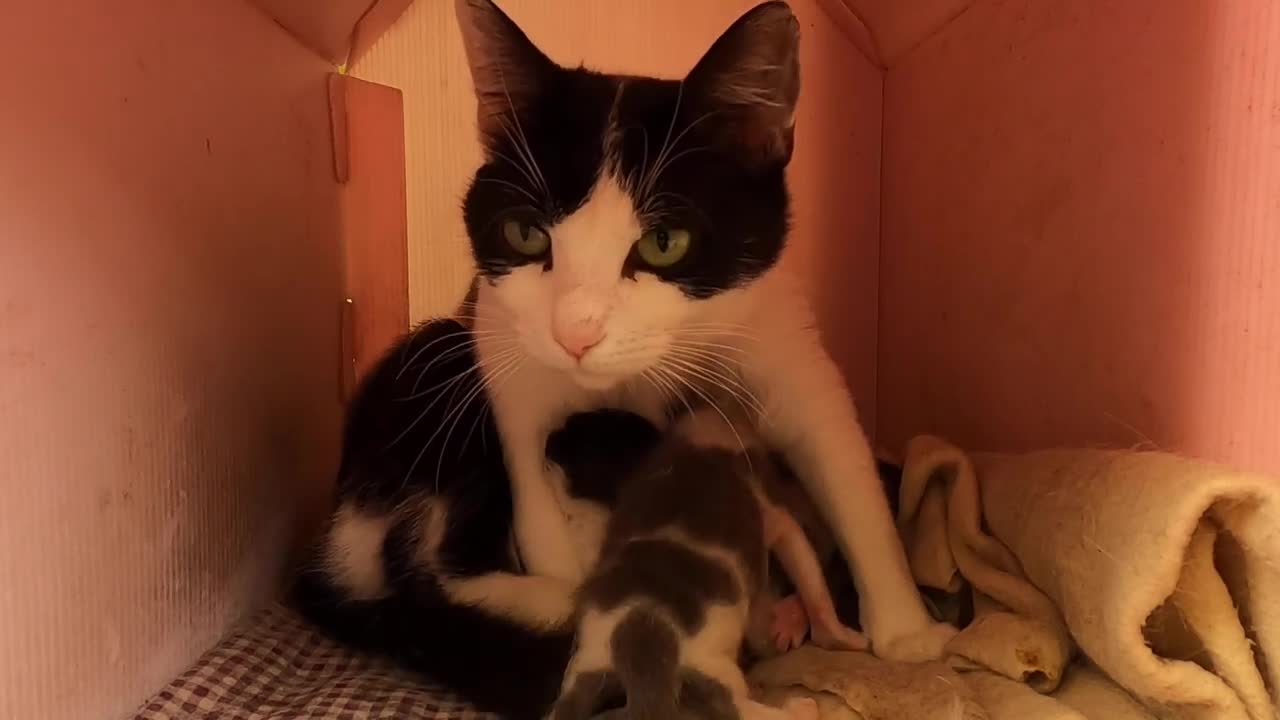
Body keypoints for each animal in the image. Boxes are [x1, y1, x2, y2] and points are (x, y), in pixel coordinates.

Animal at [293, 1, 952, 712]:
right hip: (435, 360)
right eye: (525, 233)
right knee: (422, 569)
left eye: (665, 242)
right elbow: (537, 489)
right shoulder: (504, 354)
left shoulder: (775, 328)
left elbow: (840, 458)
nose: (575, 334)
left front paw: (908, 633)